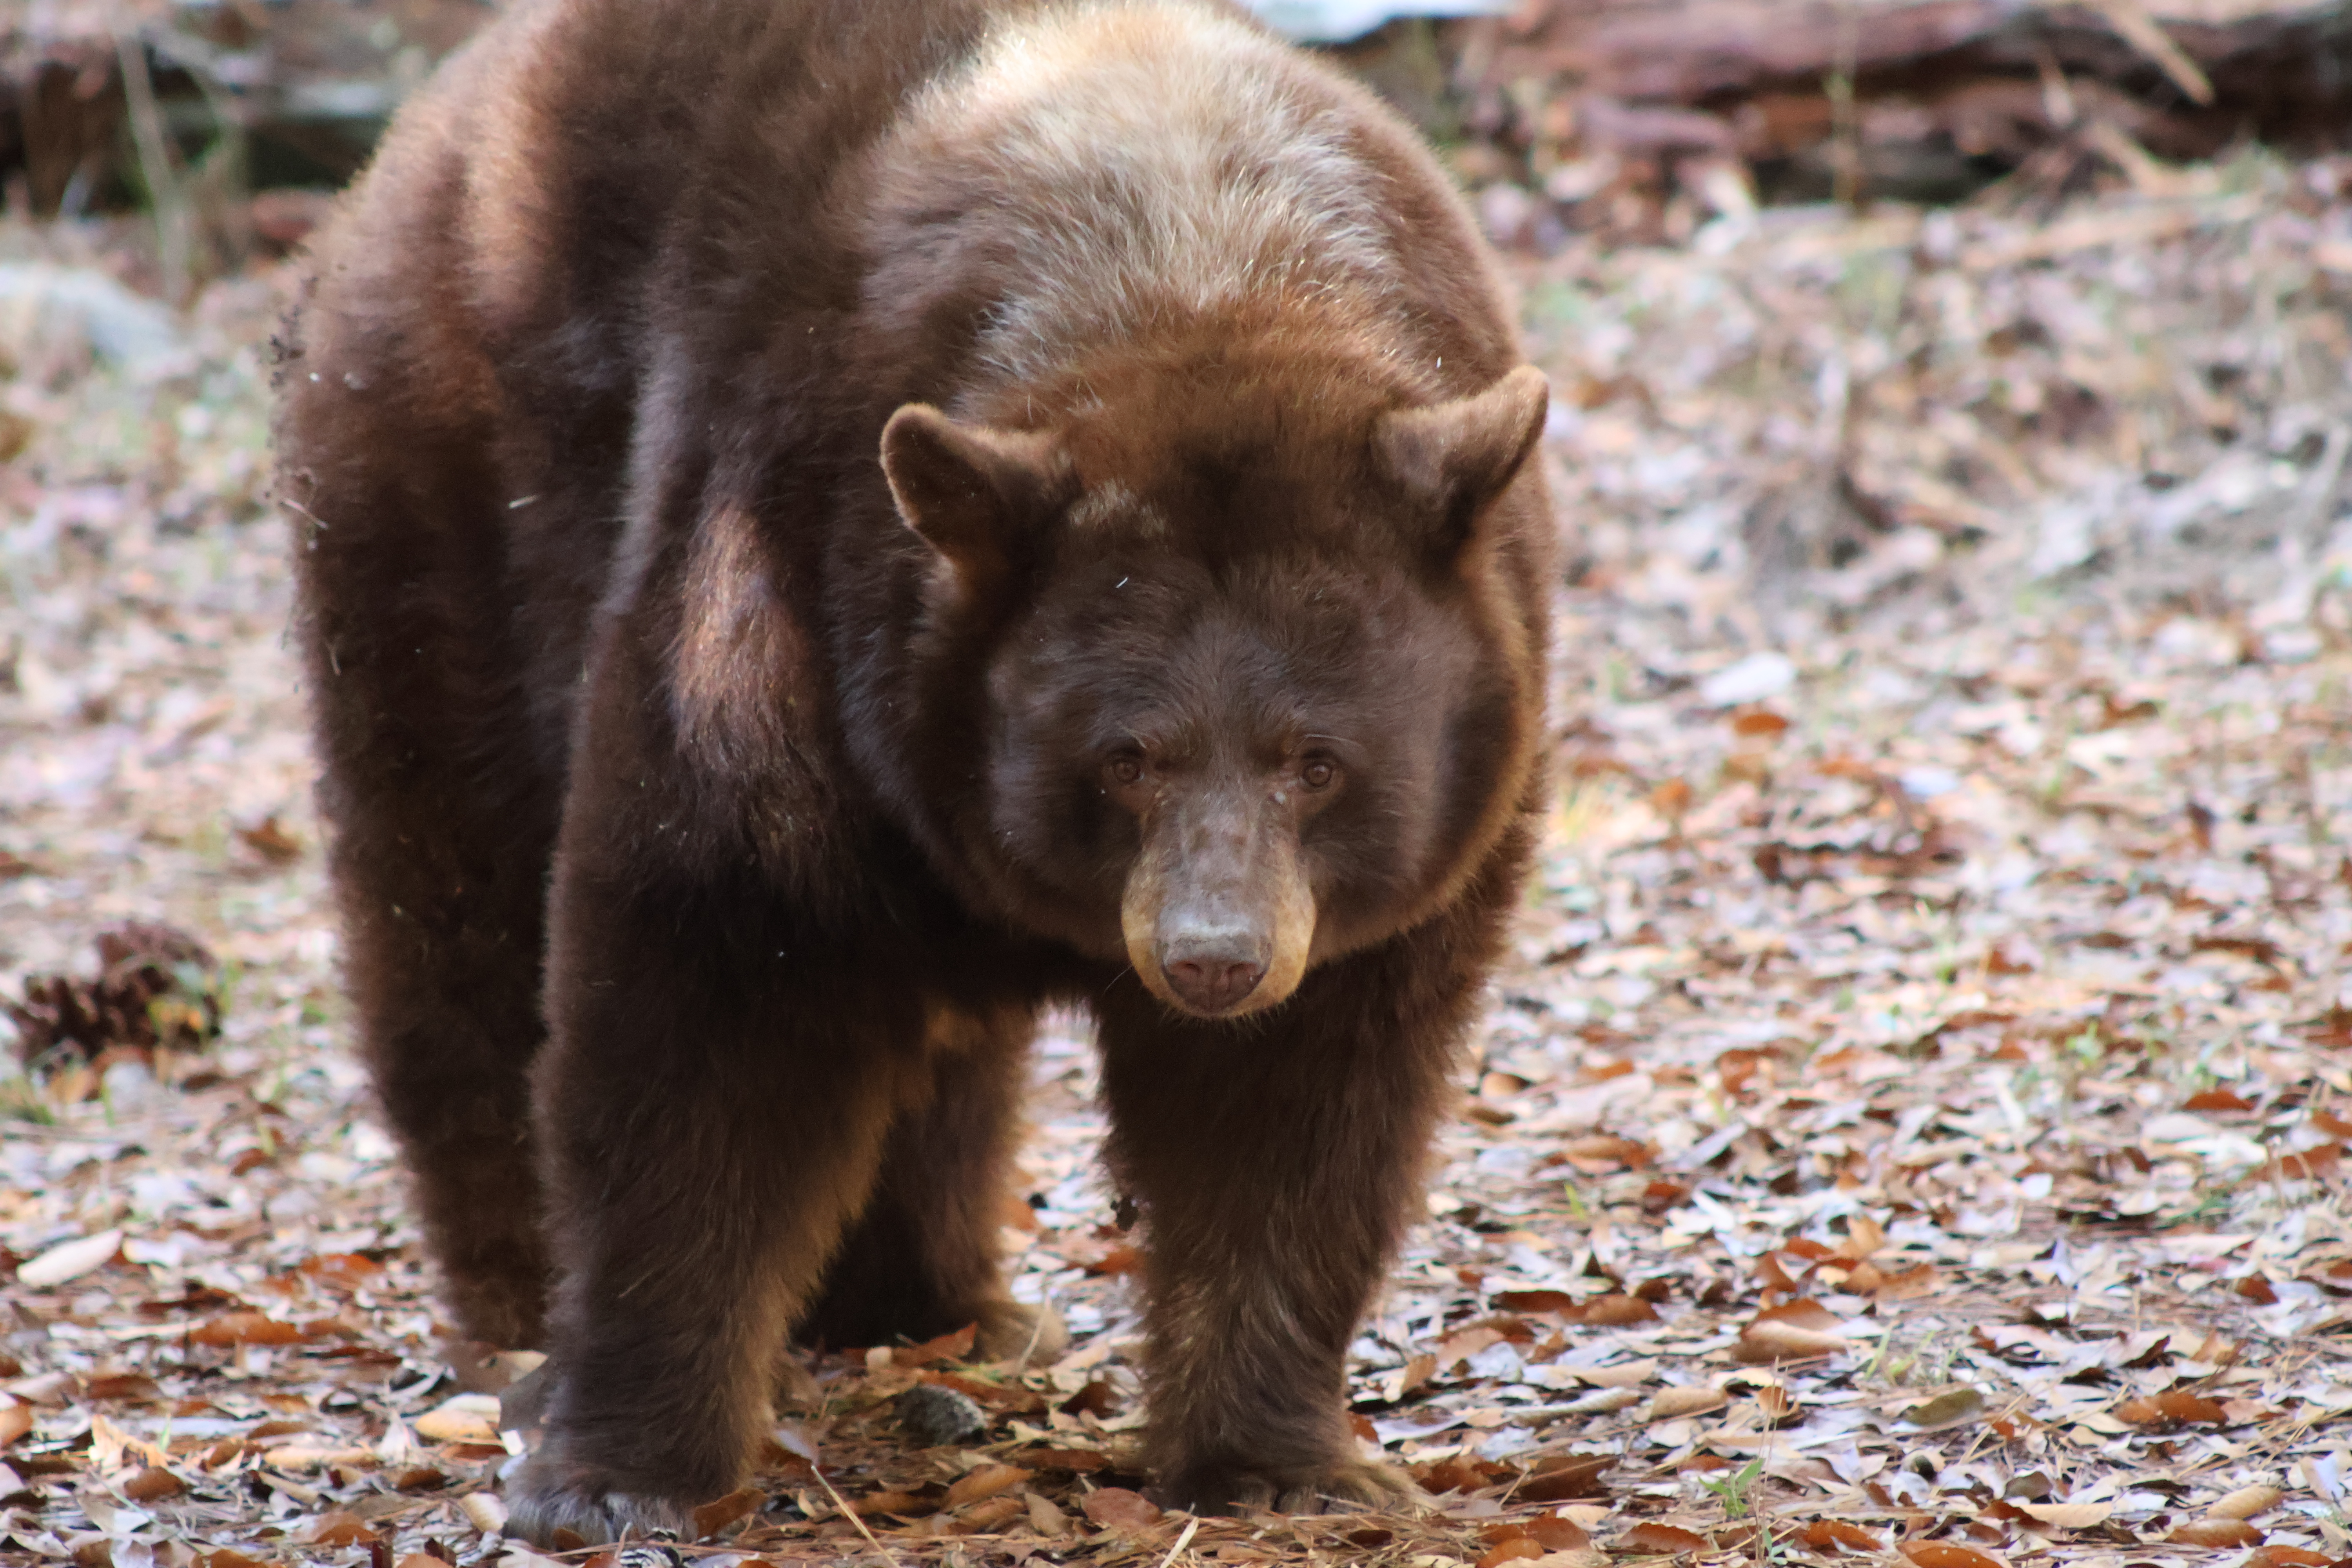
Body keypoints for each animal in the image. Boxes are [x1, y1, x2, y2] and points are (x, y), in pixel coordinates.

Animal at [274, 0, 1553, 1545]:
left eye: (1317, 761)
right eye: (1124, 756)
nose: (1214, 959)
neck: (1187, 257)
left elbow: (1300, 1105)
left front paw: (1280, 1458)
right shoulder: (787, 599)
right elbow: (703, 993)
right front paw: (617, 1468)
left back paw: (930, 1300)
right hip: (442, 501)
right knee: (450, 897)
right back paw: (519, 1322)